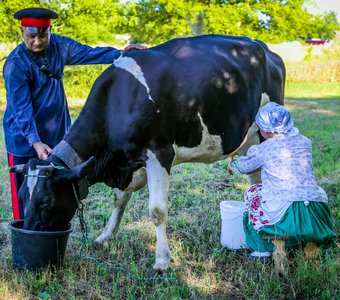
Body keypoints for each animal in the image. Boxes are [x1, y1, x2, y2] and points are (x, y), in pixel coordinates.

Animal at [9, 34, 284, 274]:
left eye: (45, 201)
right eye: (22, 195)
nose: (29, 231)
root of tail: (264, 48)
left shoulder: (159, 152)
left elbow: (157, 211)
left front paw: (162, 261)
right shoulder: (129, 162)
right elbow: (119, 199)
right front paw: (105, 237)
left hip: (265, 133)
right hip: (248, 139)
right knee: (254, 177)